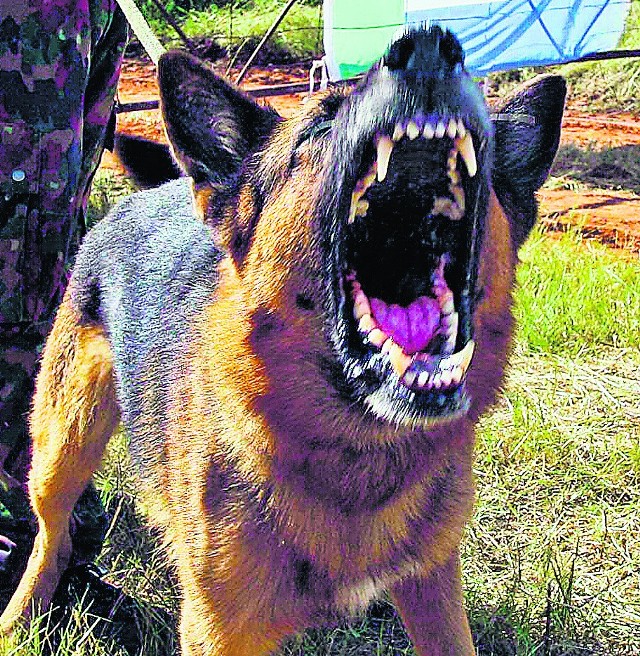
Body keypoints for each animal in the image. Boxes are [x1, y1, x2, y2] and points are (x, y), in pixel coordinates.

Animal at [0, 25, 564, 656]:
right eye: (319, 124)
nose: (429, 46)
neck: (356, 455)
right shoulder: (217, 628)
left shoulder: (434, 587)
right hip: (61, 447)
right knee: (52, 535)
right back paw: (20, 616)